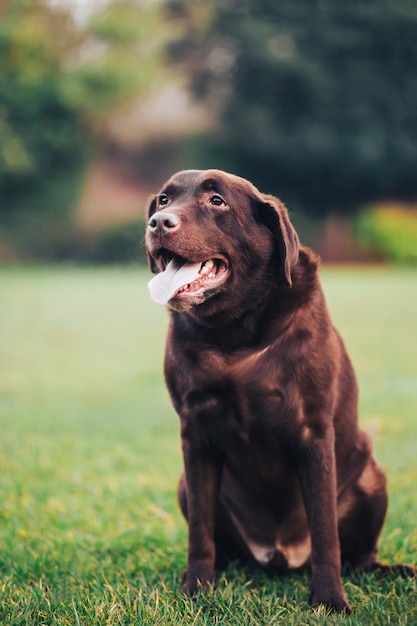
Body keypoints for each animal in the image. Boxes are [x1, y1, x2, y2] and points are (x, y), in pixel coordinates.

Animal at [145, 168, 412, 612]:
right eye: (164, 200)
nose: (158, 223)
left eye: (217, 201)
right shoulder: (195, 437)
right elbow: (200, 531)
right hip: (187, 485)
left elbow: (325, 532)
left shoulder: (313, 433)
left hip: (373, 479)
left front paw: (330, 599)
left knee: (361, 557)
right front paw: (197, 588)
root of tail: (280, 554)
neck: (235, 333)